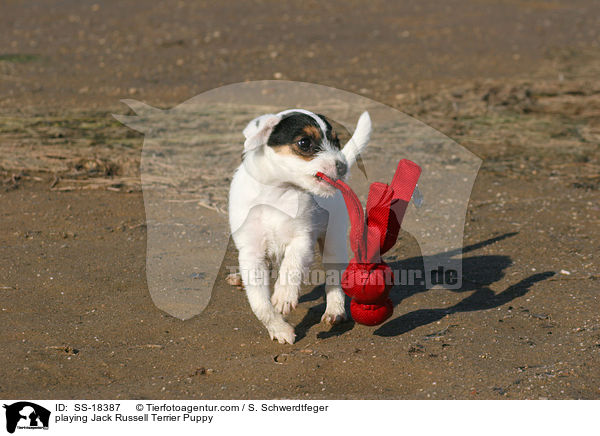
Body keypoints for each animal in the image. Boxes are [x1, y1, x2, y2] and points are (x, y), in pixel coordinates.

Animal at [229, 109, 370, 344]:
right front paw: (280, 329)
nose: (342, 166)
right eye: (304, 143)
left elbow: (291, 266)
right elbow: (260, 304)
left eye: (336, 141)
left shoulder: (302, 238)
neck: (276, 194)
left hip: (334, 241)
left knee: (333, 277)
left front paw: (284, 295)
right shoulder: (251, 252)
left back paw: (334, 310)